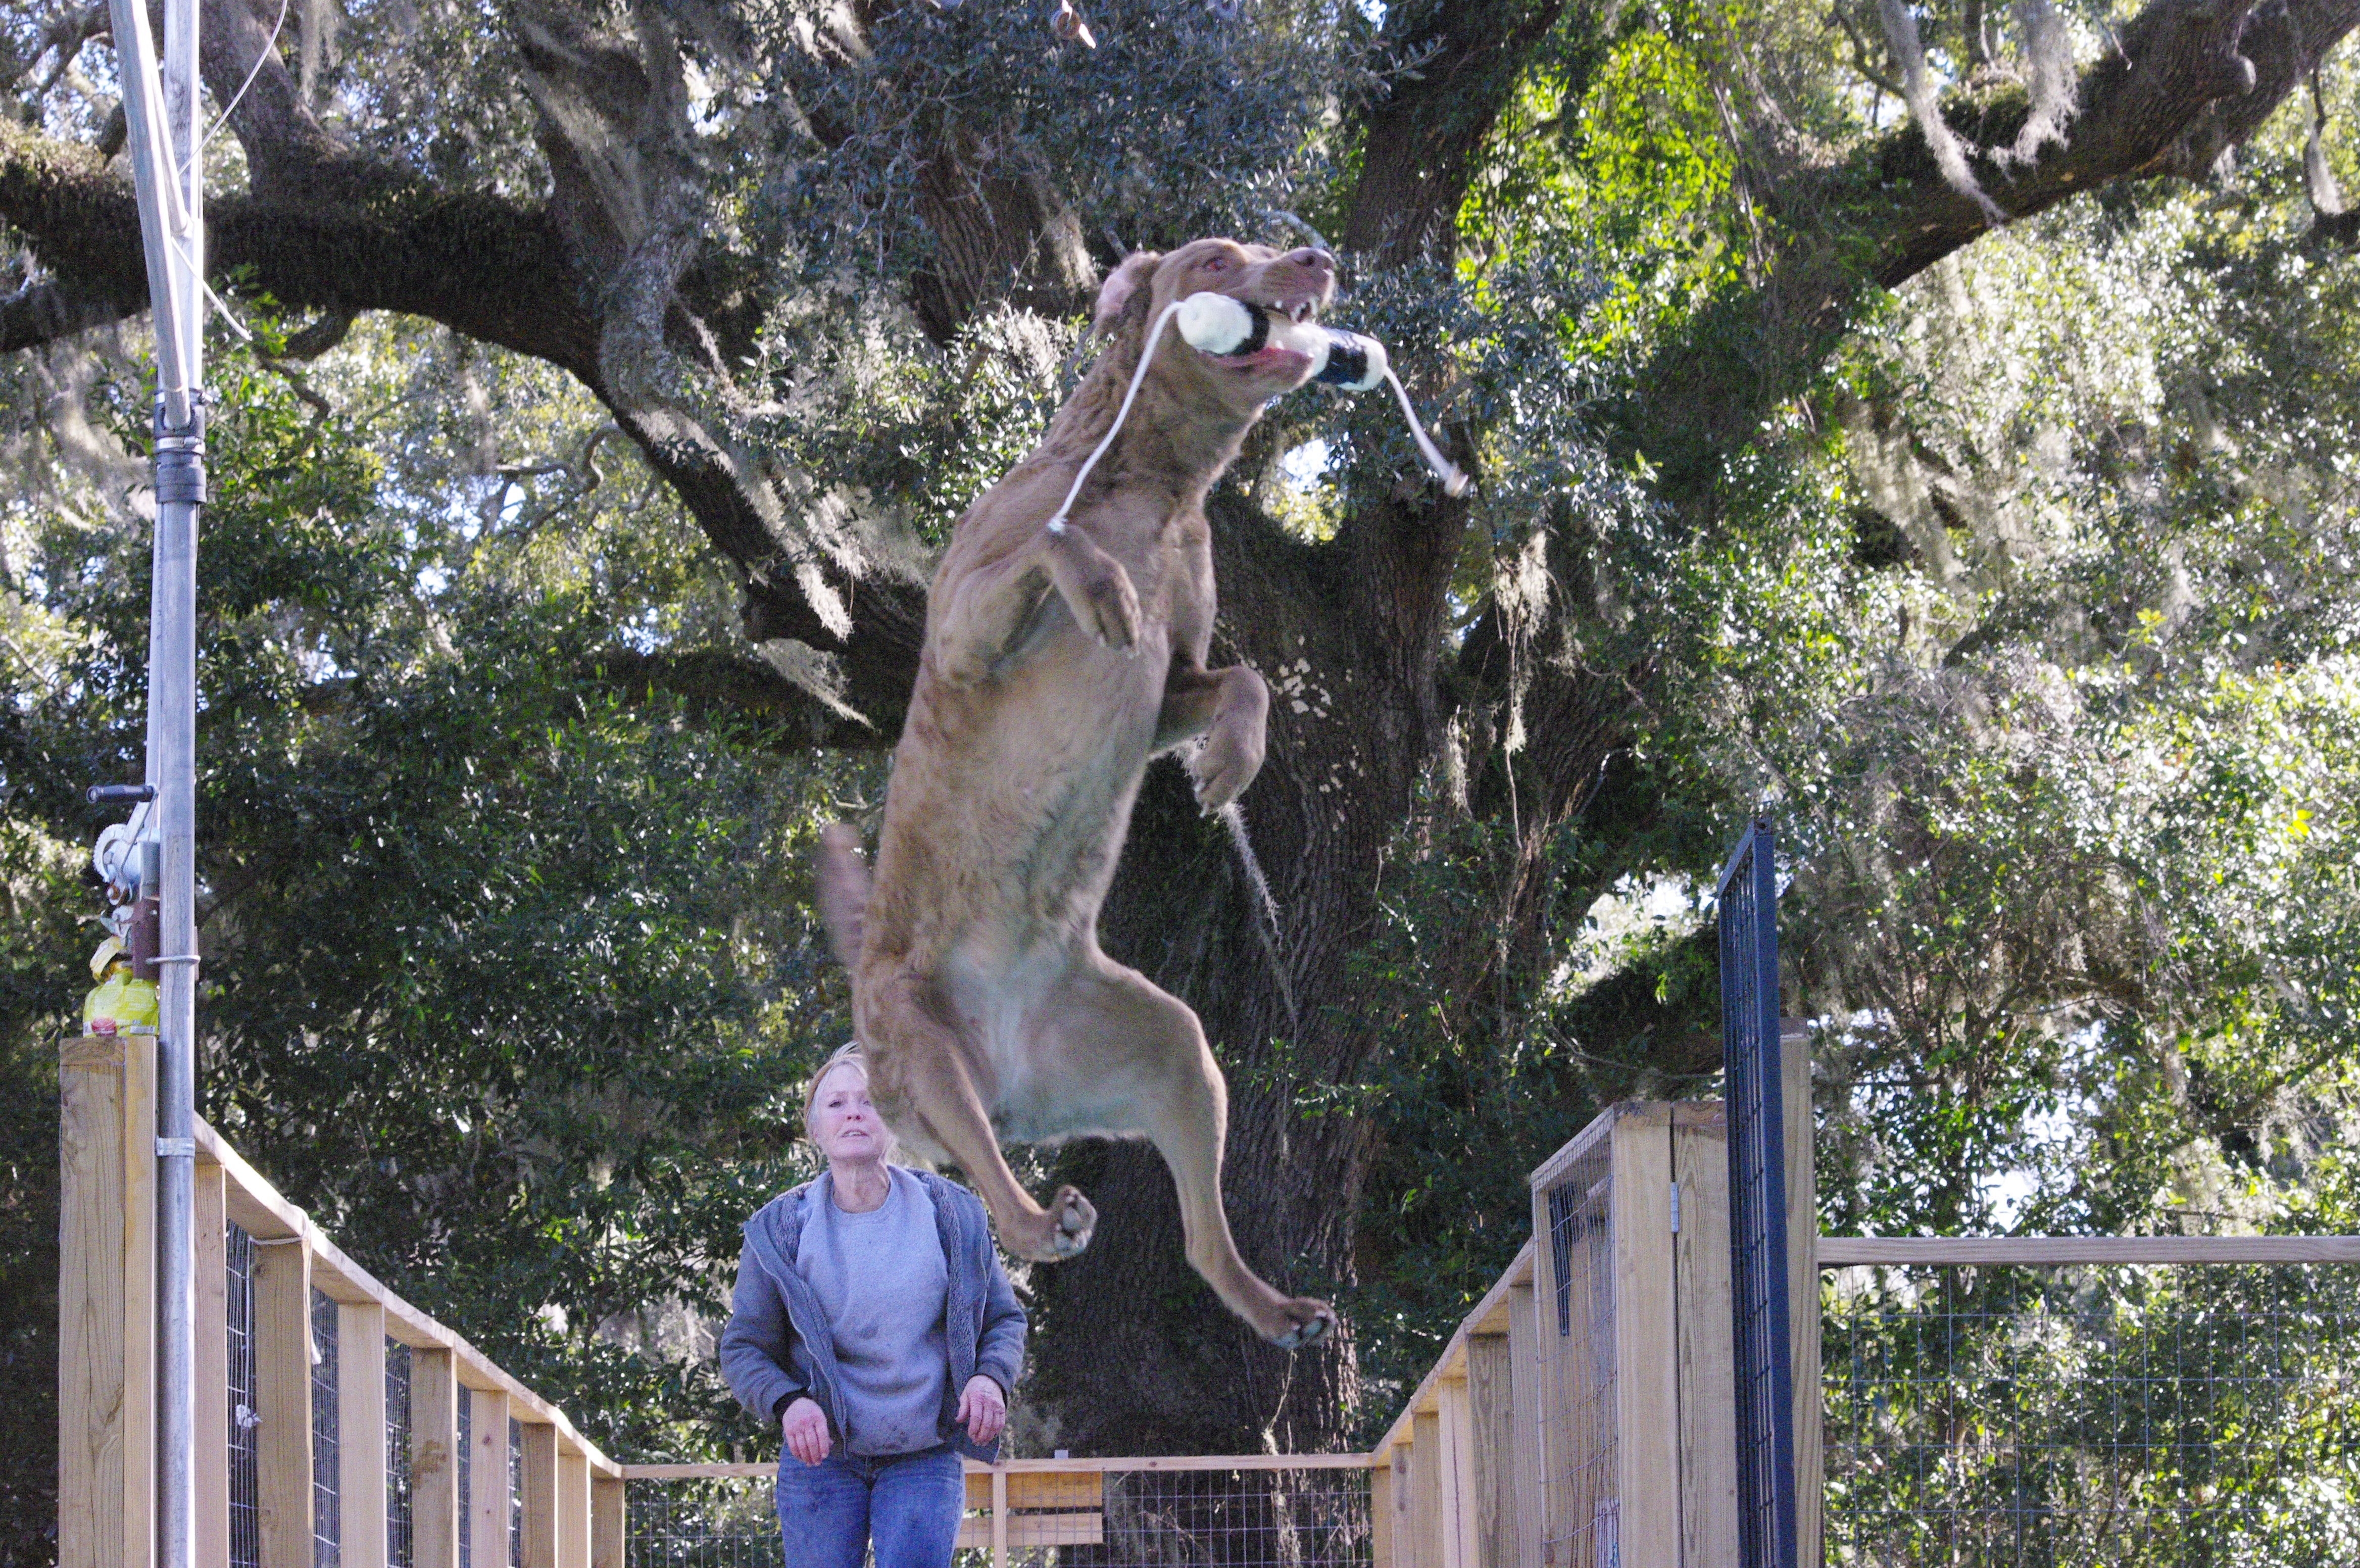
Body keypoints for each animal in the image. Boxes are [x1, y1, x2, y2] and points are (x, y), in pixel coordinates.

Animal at [816, 236, 1340, 1350]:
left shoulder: (1174, 681)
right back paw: (1038, 1217)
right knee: (985, 1190)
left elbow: (1244, 677)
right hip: (918, 1036)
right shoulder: (963, 627)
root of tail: (1008, 1080)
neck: (1157, 490)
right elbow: (1055, 542)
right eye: (1215, 255)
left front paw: (1231, 760)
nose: (1314, 255)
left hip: (1170, 1047)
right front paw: (1101, 586)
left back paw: (1278, 1308)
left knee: (1199, 1238)